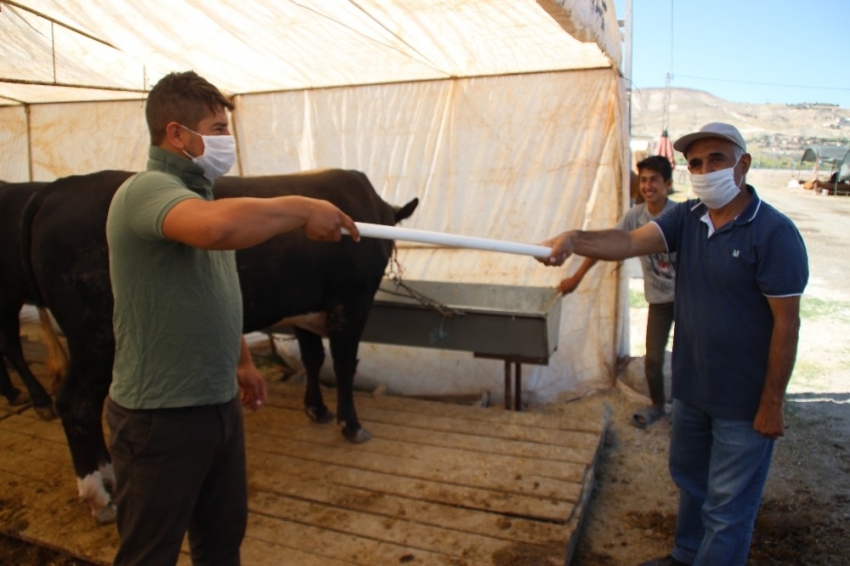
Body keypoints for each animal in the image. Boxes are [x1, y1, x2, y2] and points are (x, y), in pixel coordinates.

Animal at [21, 170, 416, 524]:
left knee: (80, 405)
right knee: (78, 405)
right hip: (95, 337)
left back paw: (105, 479)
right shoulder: (352, 302)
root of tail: (58, 189)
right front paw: (352, 425)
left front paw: (317, 410)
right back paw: (99, 496)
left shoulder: (305, 307)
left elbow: (314, 359)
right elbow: (346, 365)